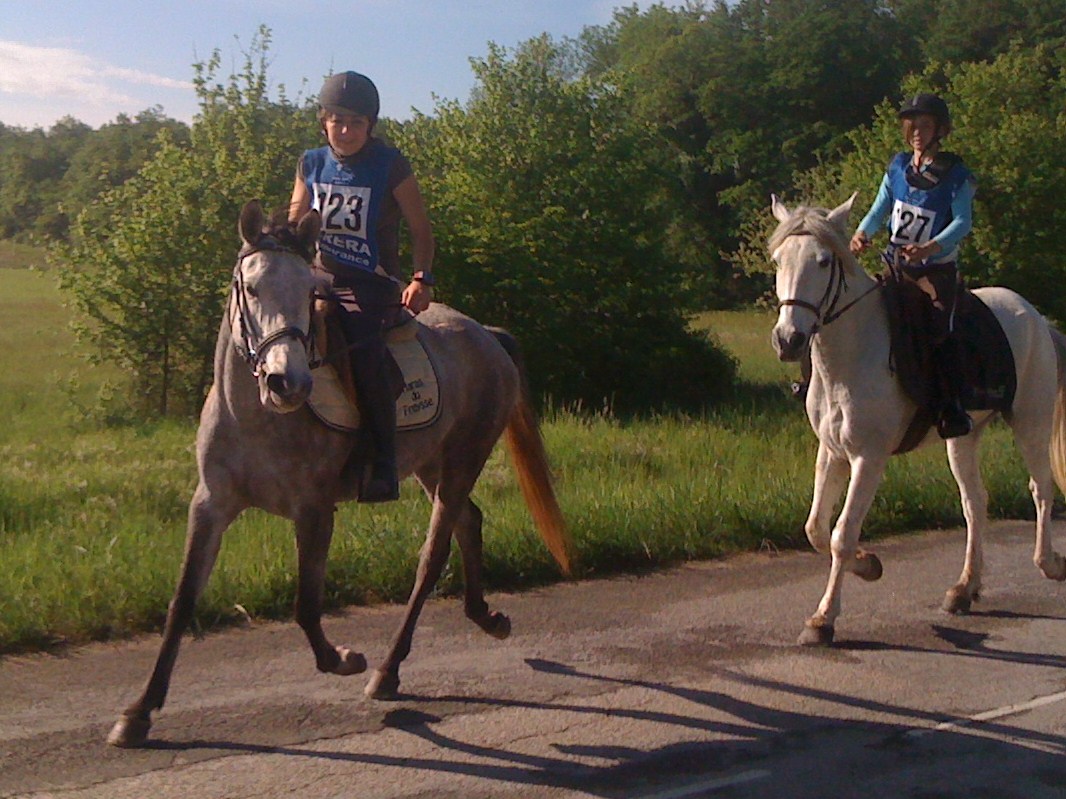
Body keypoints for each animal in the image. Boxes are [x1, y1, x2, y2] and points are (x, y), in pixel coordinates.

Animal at [108, 200, 575, 749]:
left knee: (433, 555)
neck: (255, 417)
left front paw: (344, 659)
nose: (287, 382)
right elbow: (182, 601)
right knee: (469, 521)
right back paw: (486, 617)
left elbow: (306, 605)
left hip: (465, 456)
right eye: (252, 288)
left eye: (309, 291)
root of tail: (488, 337)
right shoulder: (210, 506)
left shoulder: (314, 510)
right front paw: (139, 712)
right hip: (432, 464)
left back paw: (389, 670)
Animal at [767, 196, 1066, 651]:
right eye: (778, 260)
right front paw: (869, 565)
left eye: (823, 261)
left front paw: (823, 620)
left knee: (1040, 488)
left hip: (1031, 420)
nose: (789, 340)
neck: (850, 354)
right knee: (975, 502)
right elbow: (816, 529)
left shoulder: (868, 458)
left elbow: (841, 534)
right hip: (963, 437)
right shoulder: (832, 452)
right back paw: (964, 589)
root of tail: (1037, 317)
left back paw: (1049, 563)